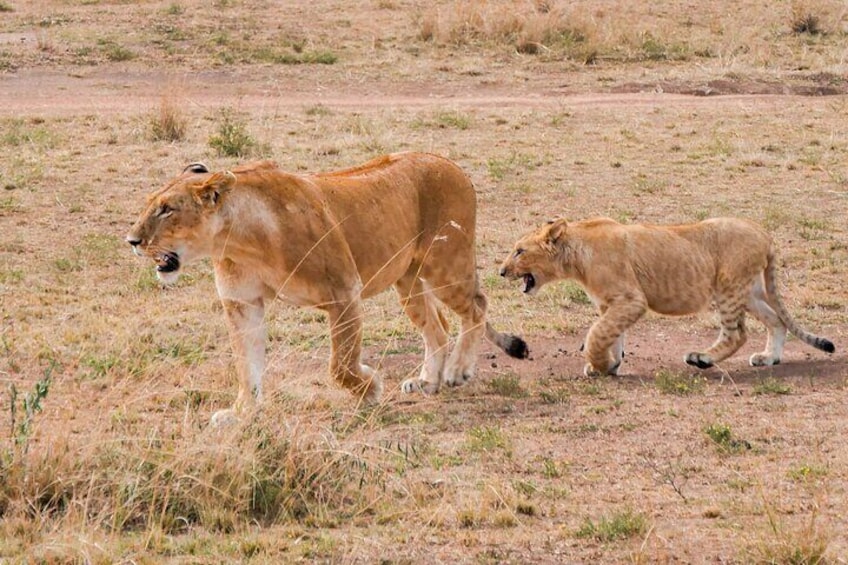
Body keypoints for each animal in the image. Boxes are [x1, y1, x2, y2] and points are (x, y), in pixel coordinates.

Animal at [127, 152, 528, 424]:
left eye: (167, 209)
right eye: (150, 205)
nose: (131, 241)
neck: (238, 239)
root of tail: (449, 162)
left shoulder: (343, 292)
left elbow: (340, 364)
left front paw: (370, 388)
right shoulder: (242, 303)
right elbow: (247, 364)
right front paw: (242, 412)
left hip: (446, 266)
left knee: (477, 306)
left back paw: (457, 371)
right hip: (408, 281)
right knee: (438, 327)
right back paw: (428, 381)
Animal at [499, 216, 834, 376]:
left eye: (519, 251)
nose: (501, 271)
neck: (575, 254)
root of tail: (764, 232)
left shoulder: (632, 300)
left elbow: (597, 334)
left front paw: (598, 365)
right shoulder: (611, 304)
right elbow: (612, 336)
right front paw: (609, 366)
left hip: (726, 287)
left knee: (737, 333)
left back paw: (702, 358)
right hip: (748, 291)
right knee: (776, 319)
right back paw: (769, 358)